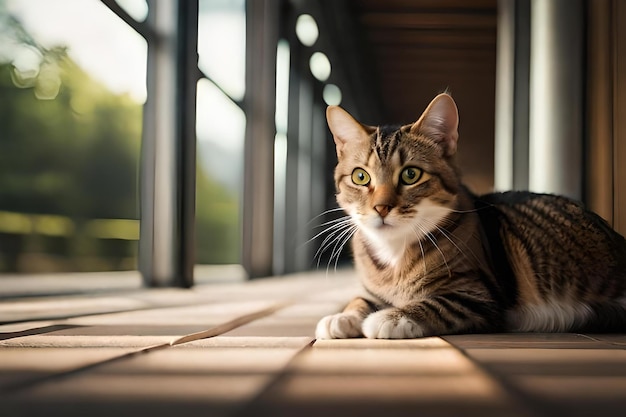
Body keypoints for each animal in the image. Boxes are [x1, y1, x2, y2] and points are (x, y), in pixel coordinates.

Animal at [314, 92, 624, 338]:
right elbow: (360, 299)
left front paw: (391, 317)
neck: (394, 253)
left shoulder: (478, 296)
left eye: (411, 175)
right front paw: (343, 316)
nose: (381, 207)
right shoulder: (372, 291)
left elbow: (436, 303)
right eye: (360, 177)